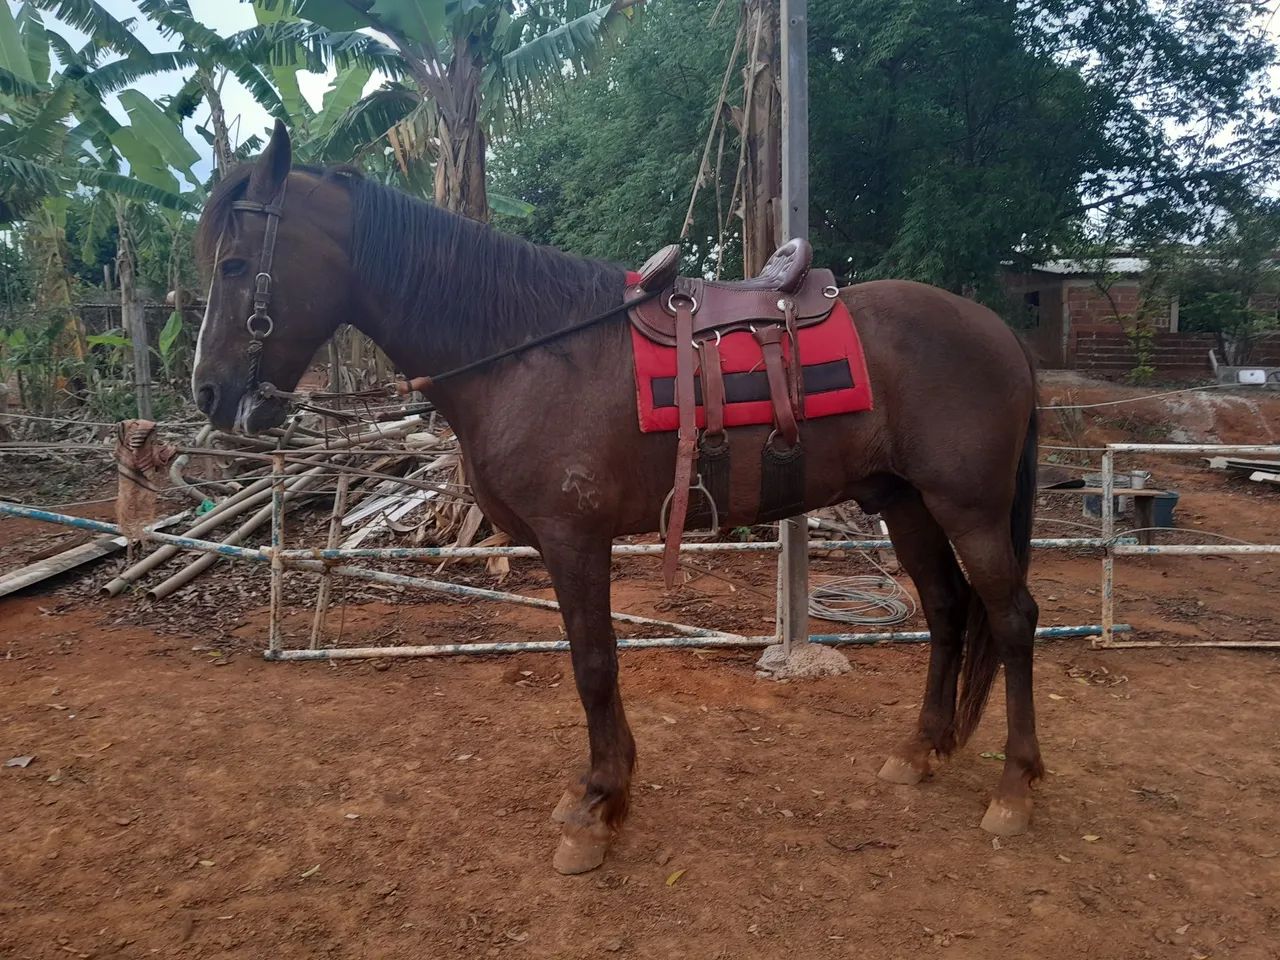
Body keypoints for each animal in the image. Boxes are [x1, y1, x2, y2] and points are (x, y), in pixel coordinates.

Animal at [192, 122, 1043, 875]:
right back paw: (920, 751)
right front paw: (604, 792)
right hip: (907, 504)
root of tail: (997, 329)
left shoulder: (576, 539)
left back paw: (1014, 788)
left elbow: (594, 665)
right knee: (946, 610)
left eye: (233, 265)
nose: (209, 393)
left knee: (1011, 618)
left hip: (967, 508)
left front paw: (600, 805)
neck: (529, 351)